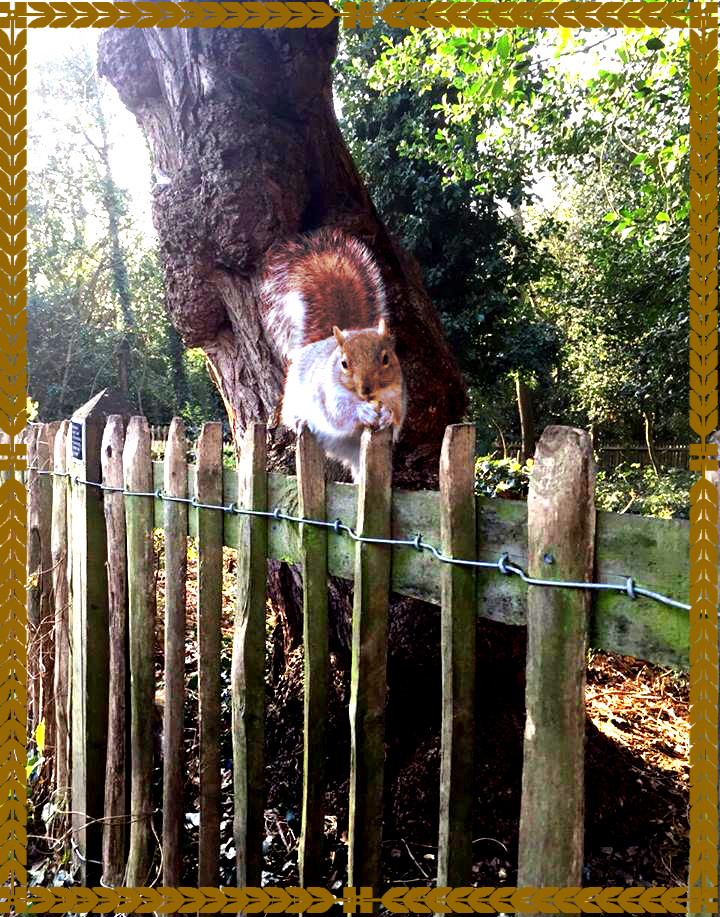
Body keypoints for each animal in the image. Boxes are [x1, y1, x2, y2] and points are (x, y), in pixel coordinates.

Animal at [260, 227, 408, 480]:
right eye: (344, 363)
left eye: (386, 358)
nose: (366, 390)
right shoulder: (328, 393)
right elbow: (339, 414)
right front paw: (362, 412)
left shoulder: (398, 392)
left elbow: (397, 413)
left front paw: (387, 415)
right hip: (292, 396)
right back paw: (300, 419)